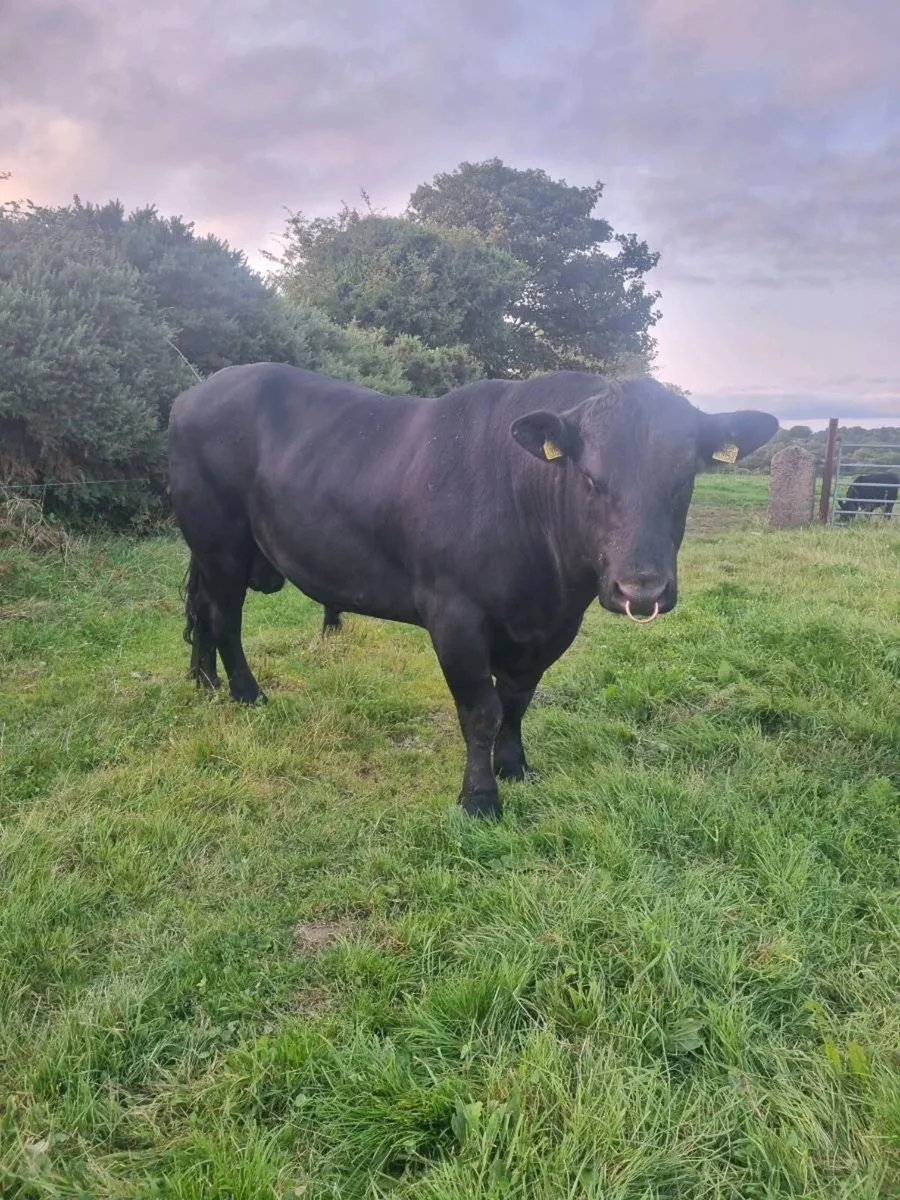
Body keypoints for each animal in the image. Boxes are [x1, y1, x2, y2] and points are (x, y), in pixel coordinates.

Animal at [168, 363, 778, 819]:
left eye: (683, 477)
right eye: (590, 478)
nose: (641, 588)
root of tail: (197, 391)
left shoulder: (553, 625)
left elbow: (517, 701)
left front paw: (516, 766)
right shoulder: (455, 615)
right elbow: (481, 709)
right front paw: (480, 798)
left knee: (202, 610)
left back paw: (203, 680)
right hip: (220, 540)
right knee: (224, 617)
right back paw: (247, 693)